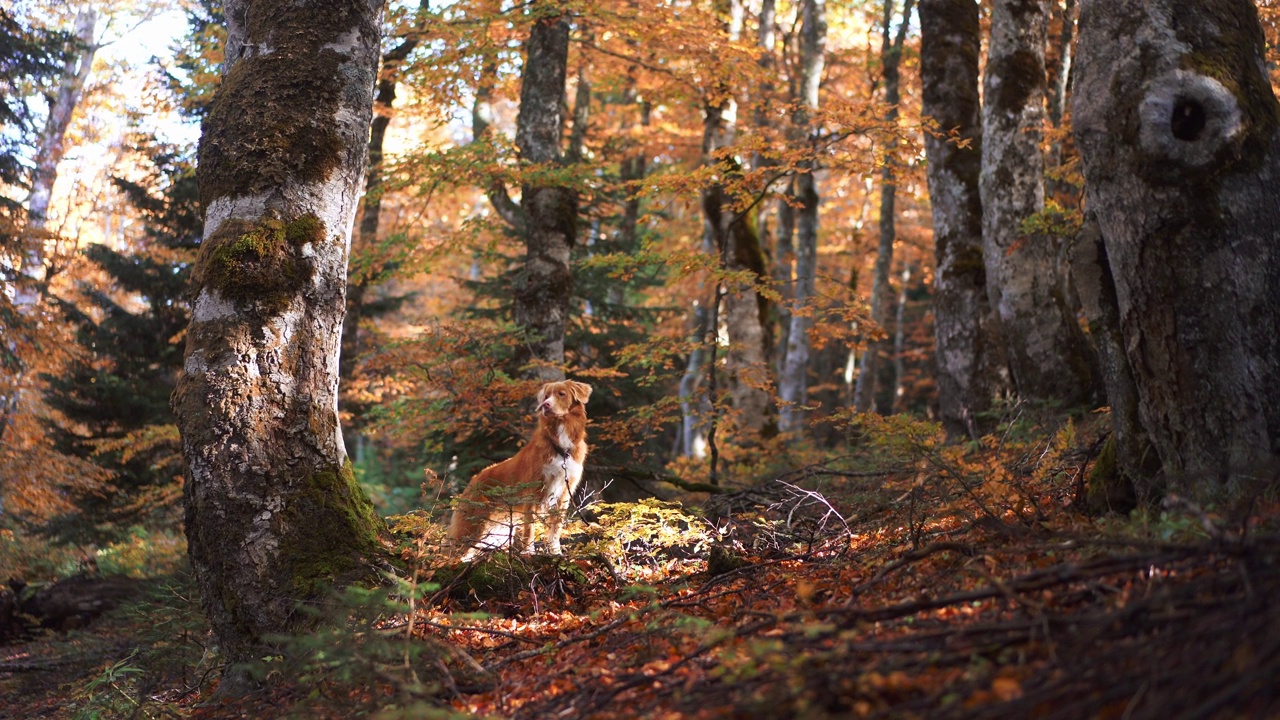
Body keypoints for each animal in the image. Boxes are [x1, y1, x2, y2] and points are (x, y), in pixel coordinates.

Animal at [448, 379, 591, 558]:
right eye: (546, 396)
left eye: (561, 394)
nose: (546, 405)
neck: (561, 448)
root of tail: (473, 480)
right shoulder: (532, 490)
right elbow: (529, 528)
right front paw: (528, 552)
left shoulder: (564, 493)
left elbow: (555, 528)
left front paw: (555, 552)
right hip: (472, 526)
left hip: (494, 532)